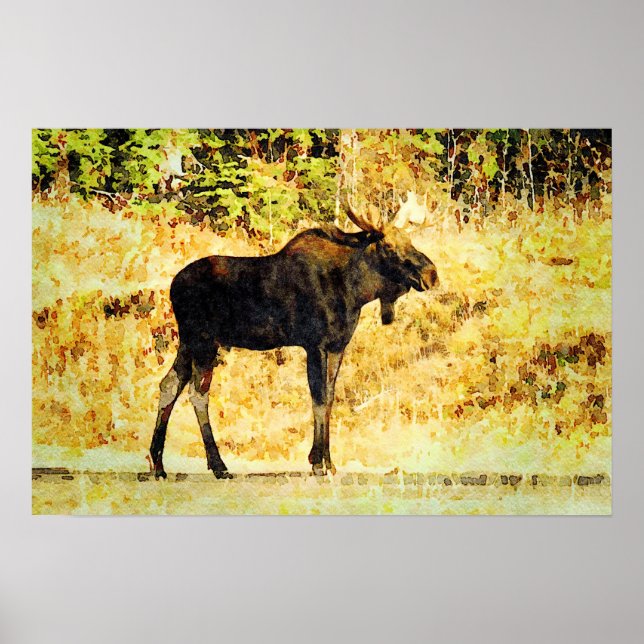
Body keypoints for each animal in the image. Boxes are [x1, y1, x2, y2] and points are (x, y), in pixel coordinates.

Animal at [149, 192, 439, 478]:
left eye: (410, 241)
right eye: (388, 246)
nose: (432, 274)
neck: (356, 291)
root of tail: (172, 286)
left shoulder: (338, 346)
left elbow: (330, 398)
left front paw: (329, 461)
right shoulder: (315, 344)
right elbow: (318, 399)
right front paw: (318, 462)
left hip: (188, 342)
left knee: (169, 384)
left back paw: (159, 464)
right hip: (204, 341)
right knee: (197, 393)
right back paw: (218, 465)